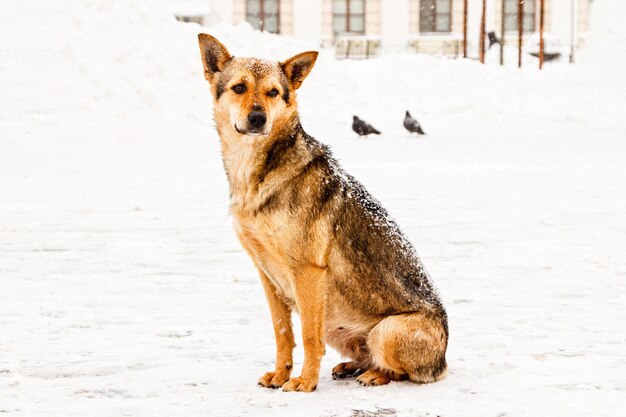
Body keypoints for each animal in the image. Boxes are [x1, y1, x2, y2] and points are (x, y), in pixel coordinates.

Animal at [197, 34, 446, 392]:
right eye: (239, 88)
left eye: (273, 92)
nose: (258, 118)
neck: (257, 171)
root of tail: (443, 361)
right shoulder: (266, 273)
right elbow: (282, 333)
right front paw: (281, 374)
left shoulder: (307, 271)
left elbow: (308, 335)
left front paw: (305, 381)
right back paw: (351, 366)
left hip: (386, 331)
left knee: (399, 371)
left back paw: (375, 374)